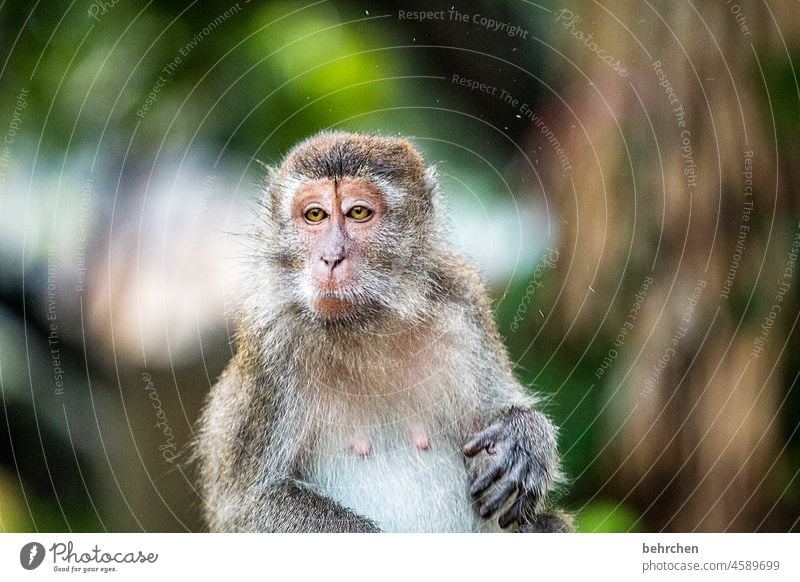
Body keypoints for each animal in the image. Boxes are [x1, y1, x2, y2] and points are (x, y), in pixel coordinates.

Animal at [197, 131, 572, 532]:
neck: (365, 324)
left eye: (358, 213)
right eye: (315, 215)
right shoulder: (271, 347)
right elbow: (249, 505)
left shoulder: (462, 305)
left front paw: (524, 438)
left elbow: (497, 412)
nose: (330, 258)